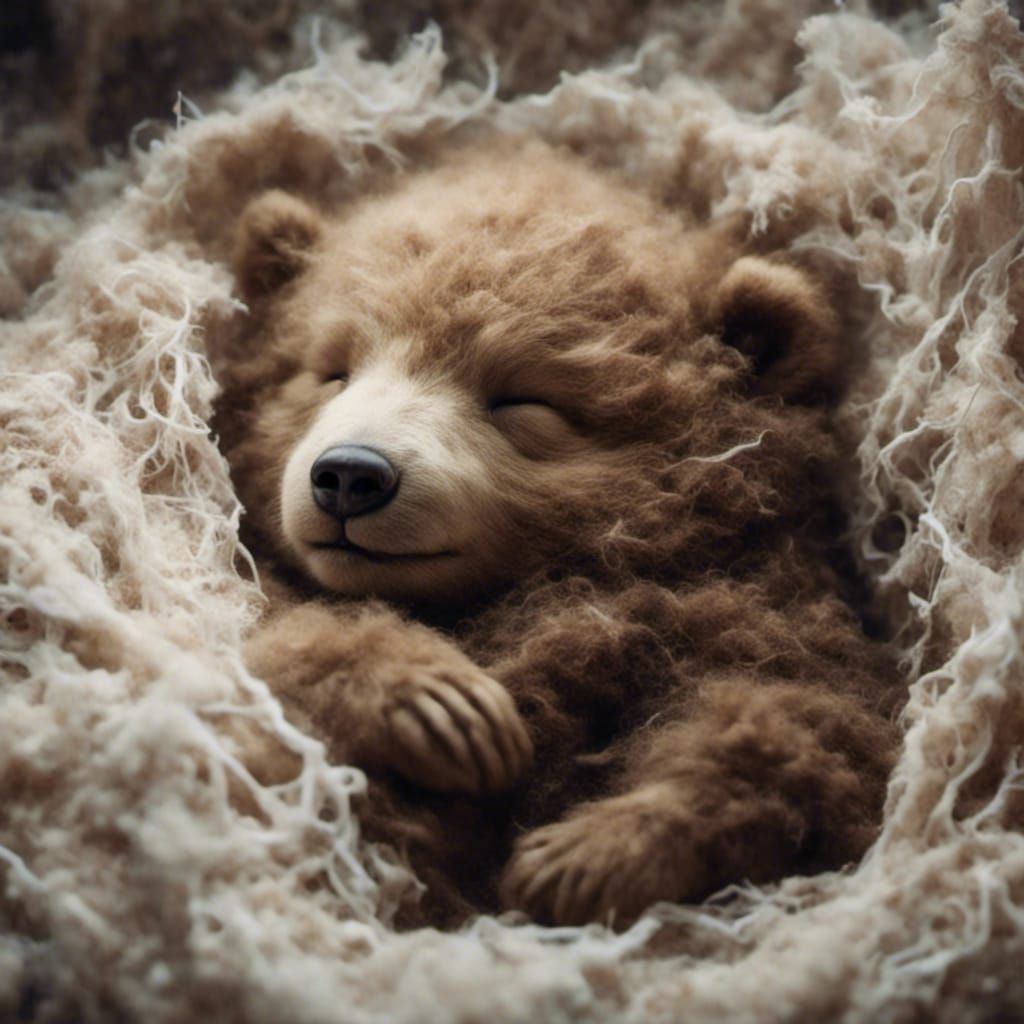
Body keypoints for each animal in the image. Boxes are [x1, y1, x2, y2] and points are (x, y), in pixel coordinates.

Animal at [215, 140, 903, 928]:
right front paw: (442, 704)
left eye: (521, 398)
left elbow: (818, 728)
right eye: (332, 371)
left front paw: (594, 853)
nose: (350, 475)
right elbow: (259, 635)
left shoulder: (740, 601)